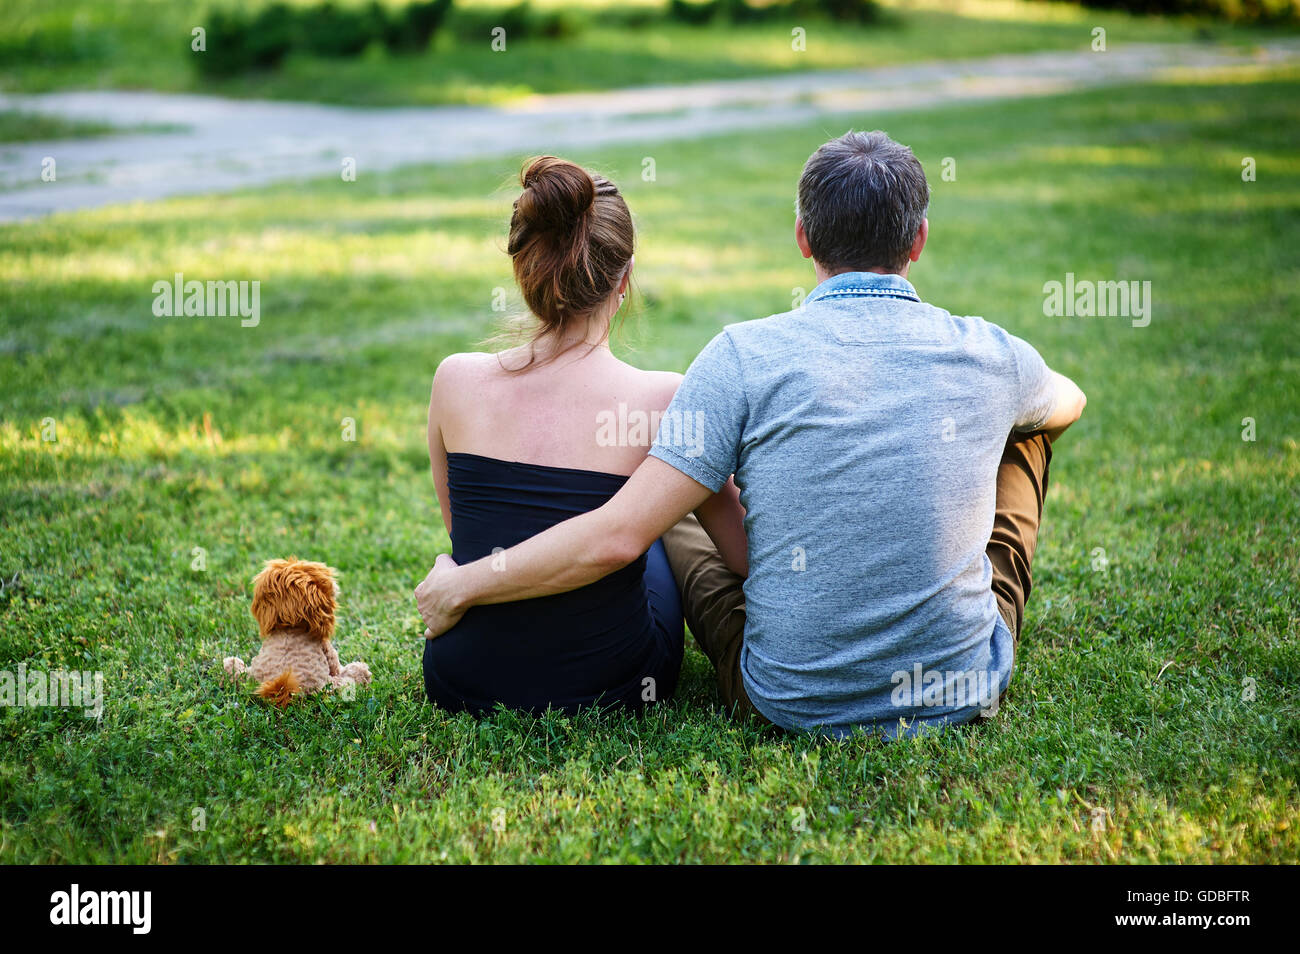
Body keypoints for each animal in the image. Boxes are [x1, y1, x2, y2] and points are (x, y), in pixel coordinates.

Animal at [223, 556, 371, 707]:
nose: (335, 586)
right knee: (349, 680)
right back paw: (362, 671)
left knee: (235, 671)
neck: (290, 627)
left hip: (249, 676)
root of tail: (282, 687)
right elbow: (338, 667)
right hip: (330, 687)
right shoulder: (327, 650)